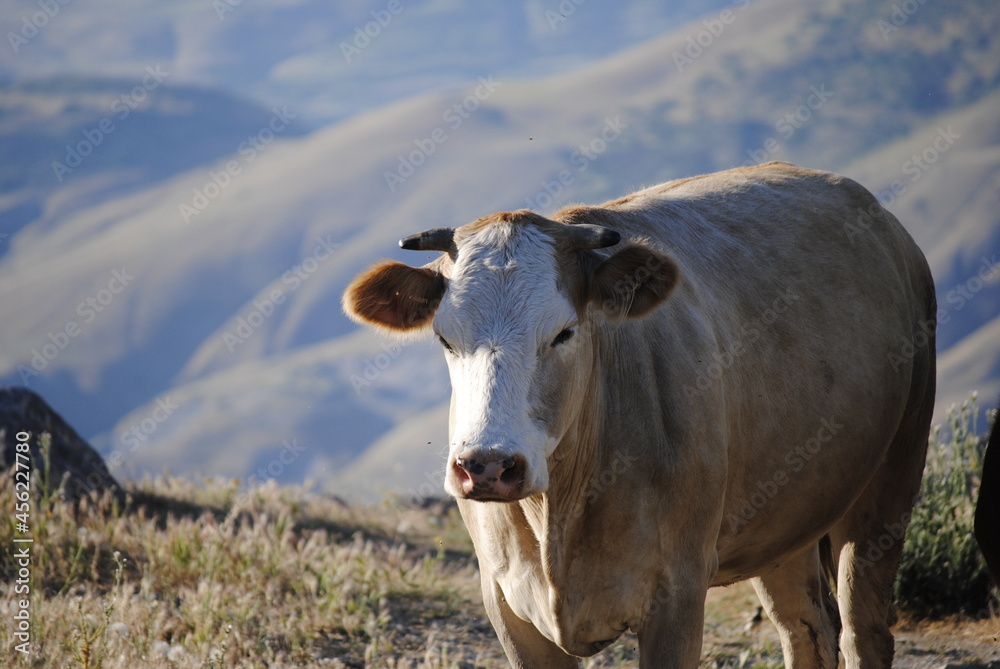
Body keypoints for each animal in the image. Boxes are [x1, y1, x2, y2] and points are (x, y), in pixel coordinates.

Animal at [342, 163, 936, 668]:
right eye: (446, 337)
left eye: (564, 332)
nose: (487, 466)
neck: (558, 514)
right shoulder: (507, 603)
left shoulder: (678, 591)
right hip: (786, 517)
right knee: (807, 629)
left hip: (891, 478)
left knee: (864, 632)